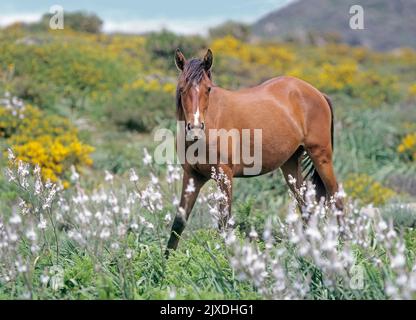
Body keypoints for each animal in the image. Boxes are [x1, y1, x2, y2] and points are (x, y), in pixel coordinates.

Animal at [165, 48, 342, 256]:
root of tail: (317, 93)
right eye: (182, 88)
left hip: (321, 157)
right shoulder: (192, 176)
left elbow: (224, 223)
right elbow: (178, 223)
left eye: (208, 89)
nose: (195, 127)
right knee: (305, 206)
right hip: (290, 164)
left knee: (336, 198)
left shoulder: (224, 176)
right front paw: (164, 263)